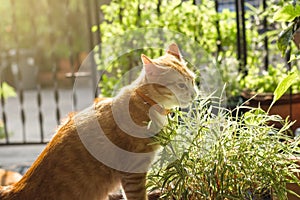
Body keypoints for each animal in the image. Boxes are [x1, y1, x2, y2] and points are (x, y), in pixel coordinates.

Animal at [0, 43, 197, 200]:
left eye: (193, 81)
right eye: (181, 85)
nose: (195, 94)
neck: (145, 103)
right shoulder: (133, 172)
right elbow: (138, 196)